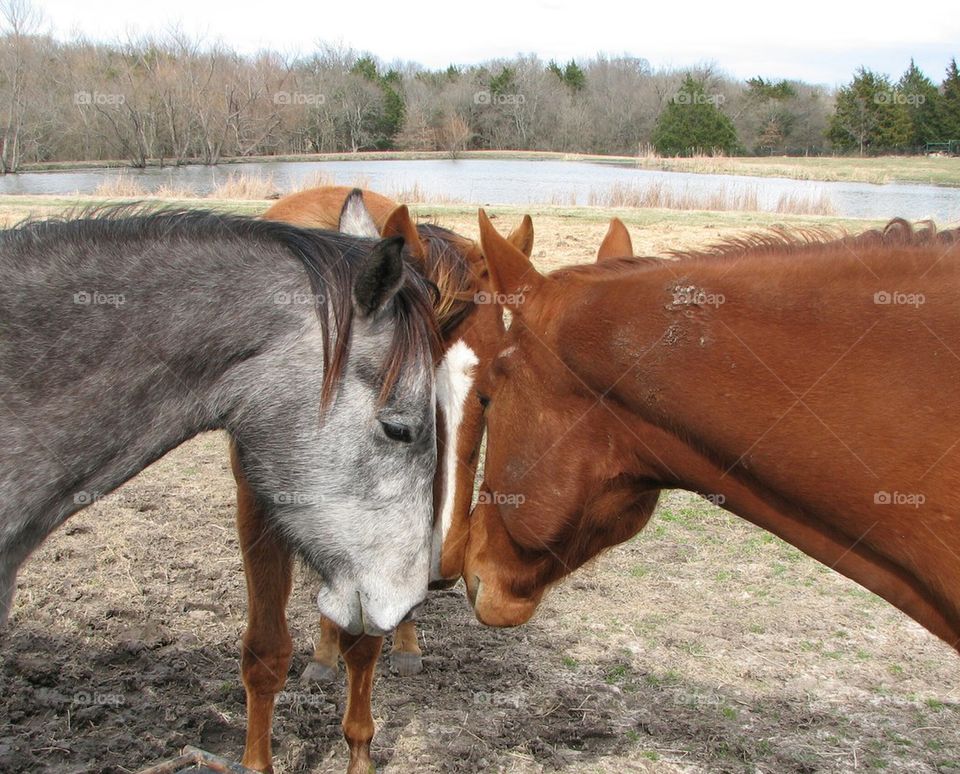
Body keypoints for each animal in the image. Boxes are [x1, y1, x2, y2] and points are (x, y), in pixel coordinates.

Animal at [236, 188, 533, 773]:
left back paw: (405, 644)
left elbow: (366, 645)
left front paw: (359, 750)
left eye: (492, 394)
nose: (445, 558)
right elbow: (265, 653)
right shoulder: (256, 514)